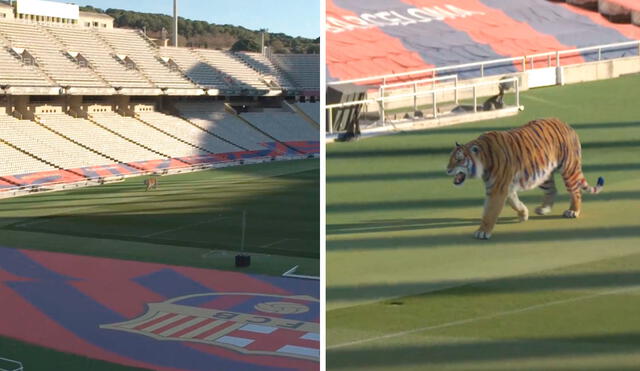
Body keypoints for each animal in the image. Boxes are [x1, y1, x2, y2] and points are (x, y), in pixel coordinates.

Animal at [448, 118, 604, 241]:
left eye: (459, 160)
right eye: (450, 159)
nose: (447, 169)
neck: (484, 160)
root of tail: (568, 126)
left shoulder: (497, 189)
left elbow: (490, 212)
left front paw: (482, 232)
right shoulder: (506, 187)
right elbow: (514, 202)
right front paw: (523, 214)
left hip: (569, 169)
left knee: (576, 192)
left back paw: (573, 211)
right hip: (543, 175)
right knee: (552, 190)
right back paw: (544, 209)